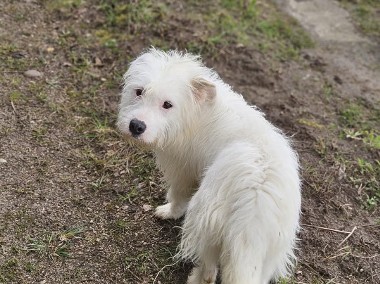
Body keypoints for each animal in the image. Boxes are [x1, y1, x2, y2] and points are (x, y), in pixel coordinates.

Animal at [117, 47, 302, 282]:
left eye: (168, 104)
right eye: (139, 91)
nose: (136, 126)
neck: (197, 113)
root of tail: (254, 212)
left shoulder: (183, 170)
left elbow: (179, 196)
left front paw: (169, 211)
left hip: (205, 219)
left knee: (209, 268)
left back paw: (195, 277)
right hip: (268, 255)